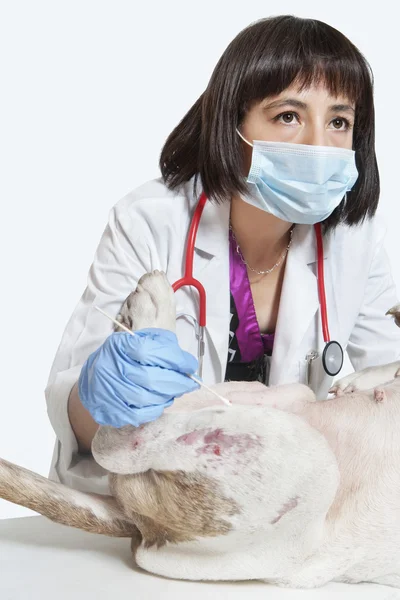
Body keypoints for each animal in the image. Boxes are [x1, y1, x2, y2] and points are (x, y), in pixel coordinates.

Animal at [0, 274, 400, 592]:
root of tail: (137, 523)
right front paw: (363, 378)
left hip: (301, 462)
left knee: (123, 442)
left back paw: (146, 315)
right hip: (278, 407)